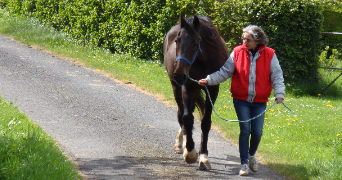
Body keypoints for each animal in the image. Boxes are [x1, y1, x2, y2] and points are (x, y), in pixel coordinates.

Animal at [164, 13, 228, 169]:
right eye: (177, 41)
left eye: (194, 43)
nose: (179, 75)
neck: (203, 61)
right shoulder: (188, 86)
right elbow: (187, 118)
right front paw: (190, 152)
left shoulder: (213, 89)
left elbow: (205, 122)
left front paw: (203, 156)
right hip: (176, 88)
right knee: (181, 113)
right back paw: (181, 144)